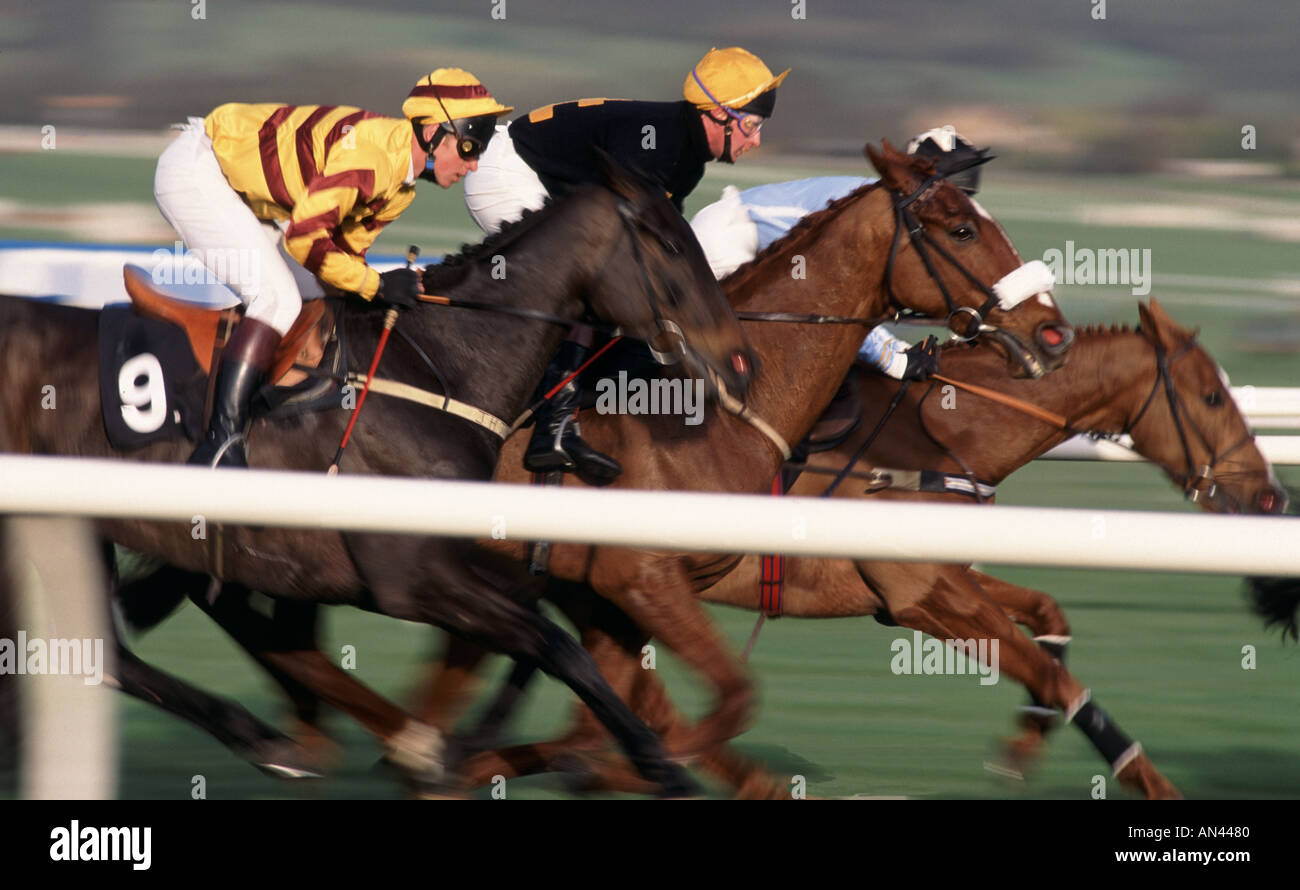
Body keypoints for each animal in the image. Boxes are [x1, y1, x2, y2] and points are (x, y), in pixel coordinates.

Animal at [0, 155, 759, 795]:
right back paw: (271, 738)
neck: (435, 368)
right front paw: (659, 763)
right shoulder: (406, 575)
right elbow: (558, 646)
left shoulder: (464, 558)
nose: (741, 362)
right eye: (671, 246)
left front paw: (461, 750)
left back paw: (272, 738)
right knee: (102, 655)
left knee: (108, 654)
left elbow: (539, 636)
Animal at [104, 139, 1076, 784]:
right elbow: (707, 707)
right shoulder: (635, 578)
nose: (1052, 333)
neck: (721, 407)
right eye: (959, 226)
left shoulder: (604, 595)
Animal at [452, 300, 1284, 800]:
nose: (1272, 495)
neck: (945, 431)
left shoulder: (939, 578)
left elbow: (1051, 618)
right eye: (1213, 397)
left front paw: (1023, 742)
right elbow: (1052, 671)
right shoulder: (922, 594)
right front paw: (1149, 782)